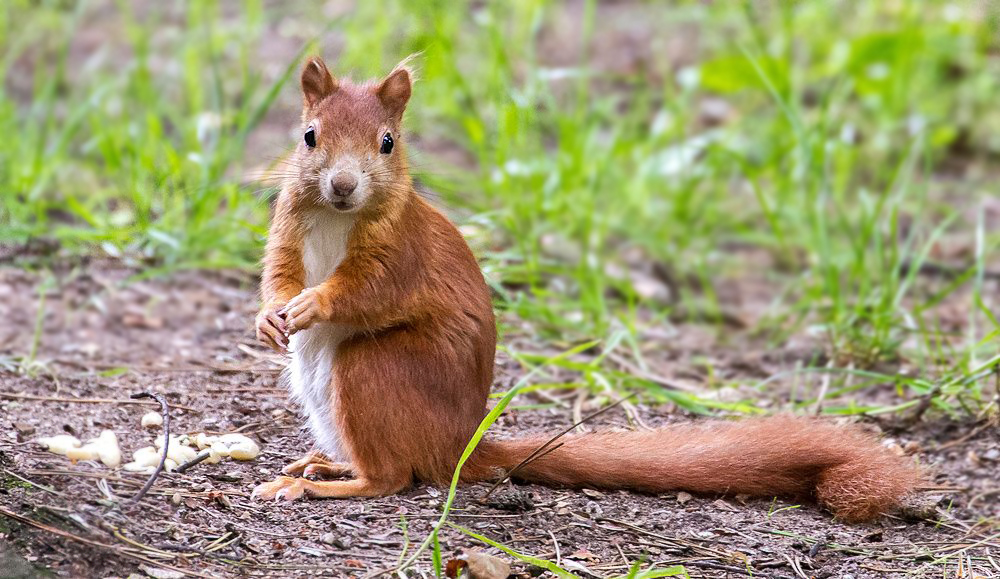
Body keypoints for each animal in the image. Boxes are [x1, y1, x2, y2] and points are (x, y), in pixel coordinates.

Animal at [252, 56, 920, 524]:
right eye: (309, 135)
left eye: (387, 143)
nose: (342, 186)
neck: (337, 218)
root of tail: (459, 444)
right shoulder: (288, 228)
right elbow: (277, 274)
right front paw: (269, 315)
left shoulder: (399, 255)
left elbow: (367, 291)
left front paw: (316, 302)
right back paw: (325, 461)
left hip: (376, 368)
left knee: (394, 476)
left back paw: (316, 484)